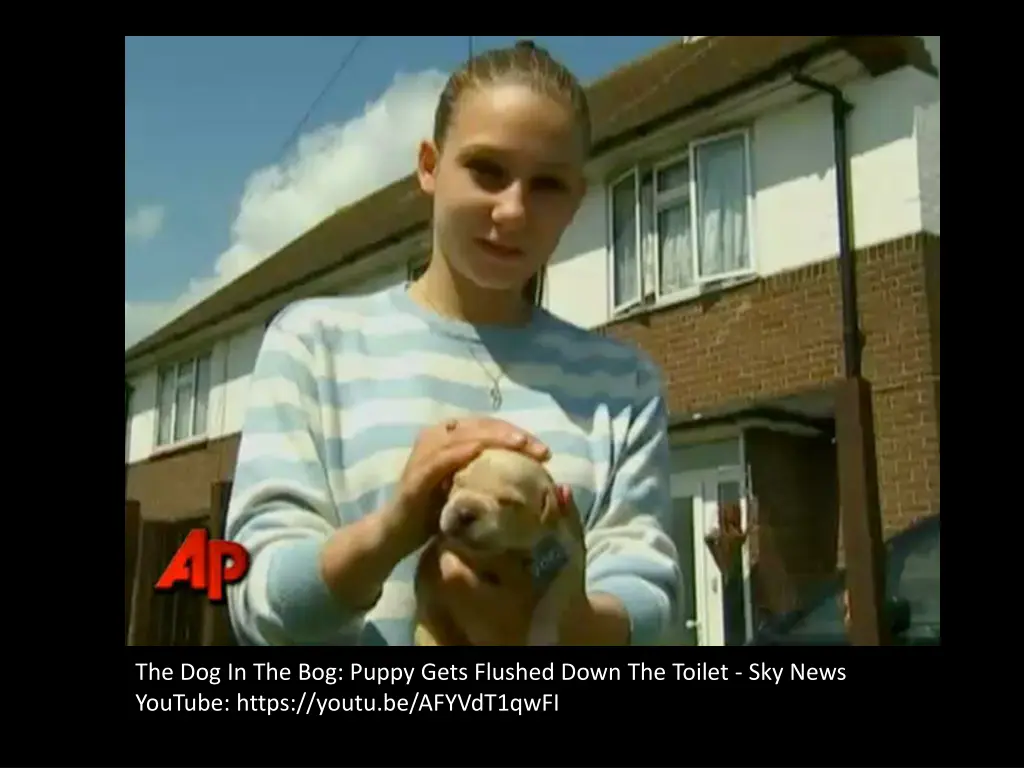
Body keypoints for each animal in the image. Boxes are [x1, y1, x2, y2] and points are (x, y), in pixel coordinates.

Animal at [411, 448, 581, 647]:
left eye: (508, 501)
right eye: (458, 482)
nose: (464, 512)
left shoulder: (568, 555)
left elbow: (555, 594)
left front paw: (542, 634)